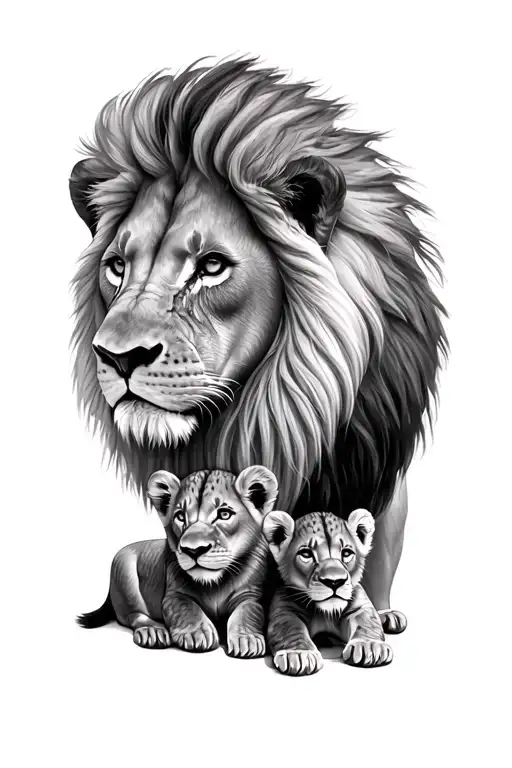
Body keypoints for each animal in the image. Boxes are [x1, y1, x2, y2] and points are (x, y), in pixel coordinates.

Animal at [69, 56, 447, 628]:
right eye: (117, 266)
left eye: (211, 266)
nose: (116, 356)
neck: (272, 418)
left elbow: (376, 549)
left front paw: (376, 614)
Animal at [77, 465, 277, 656]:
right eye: (180, 516)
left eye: (224, 514)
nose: (193, 550)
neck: (214, 584)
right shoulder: (173, 595)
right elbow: (186, 607)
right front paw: (197, 632)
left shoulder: (250, 594)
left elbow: (248, 612)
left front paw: (247, 639)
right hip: (124, 576)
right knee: (134, 615)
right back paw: (153, 631)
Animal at [263, 509, 392, 675]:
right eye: (306, 554)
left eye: (346, 553)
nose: (334, 582)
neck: (326, 613)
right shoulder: (285, 610)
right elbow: (291, 629)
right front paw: (300, 654)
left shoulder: (360, 606)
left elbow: (367, 622)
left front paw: (369, 646)